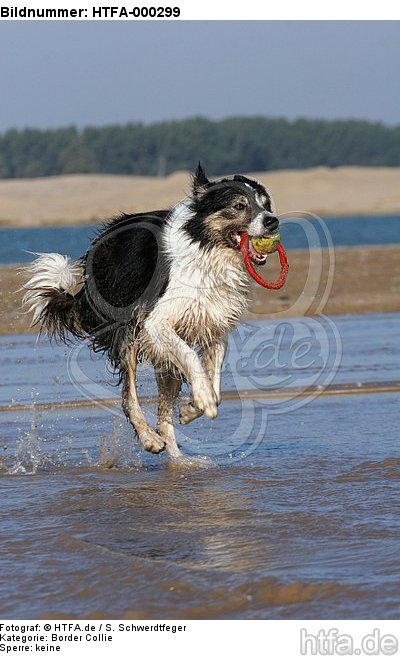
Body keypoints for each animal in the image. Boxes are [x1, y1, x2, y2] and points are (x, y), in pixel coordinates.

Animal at [22, 167, 278, 458]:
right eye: (239, 206)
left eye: (266, 204)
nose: (273, 222)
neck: (207, 250)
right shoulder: (156, 322)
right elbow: (192, 359)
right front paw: (202, 400)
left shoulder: (213, 324)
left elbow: (216, 382)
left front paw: (192, 408)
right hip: (128, 332)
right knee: (128, 397)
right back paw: (149, 440)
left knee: (162, 415)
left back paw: (178, 460)